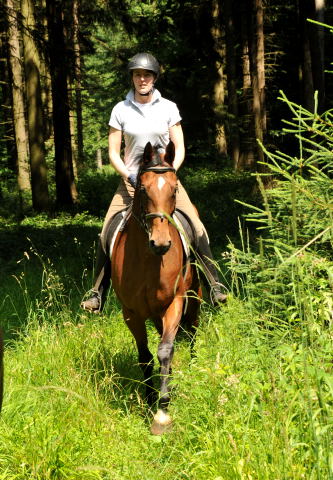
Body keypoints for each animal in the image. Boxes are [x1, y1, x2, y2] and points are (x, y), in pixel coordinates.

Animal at [111, 140, 200, 436]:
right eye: (142, 189)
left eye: (174, 189)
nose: (160, 244)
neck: (150, 261)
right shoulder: (131, 313)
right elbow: (145, 356)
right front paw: (151, 398)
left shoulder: (175, 303)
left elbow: (165, 351)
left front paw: (162, 412)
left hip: (194, 302)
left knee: (192, 333)